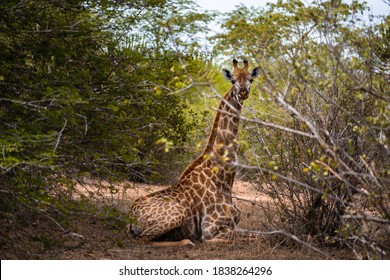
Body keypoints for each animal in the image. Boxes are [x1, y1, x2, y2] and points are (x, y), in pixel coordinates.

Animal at [128, 58, 260, 245]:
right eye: (233, 80)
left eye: (250, 79)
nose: (243, 92)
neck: (224, 181)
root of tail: (131, 217)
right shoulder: (210, 230)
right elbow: (241, 237)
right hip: (177, 214)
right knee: (143, 239)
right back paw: (187, 242)